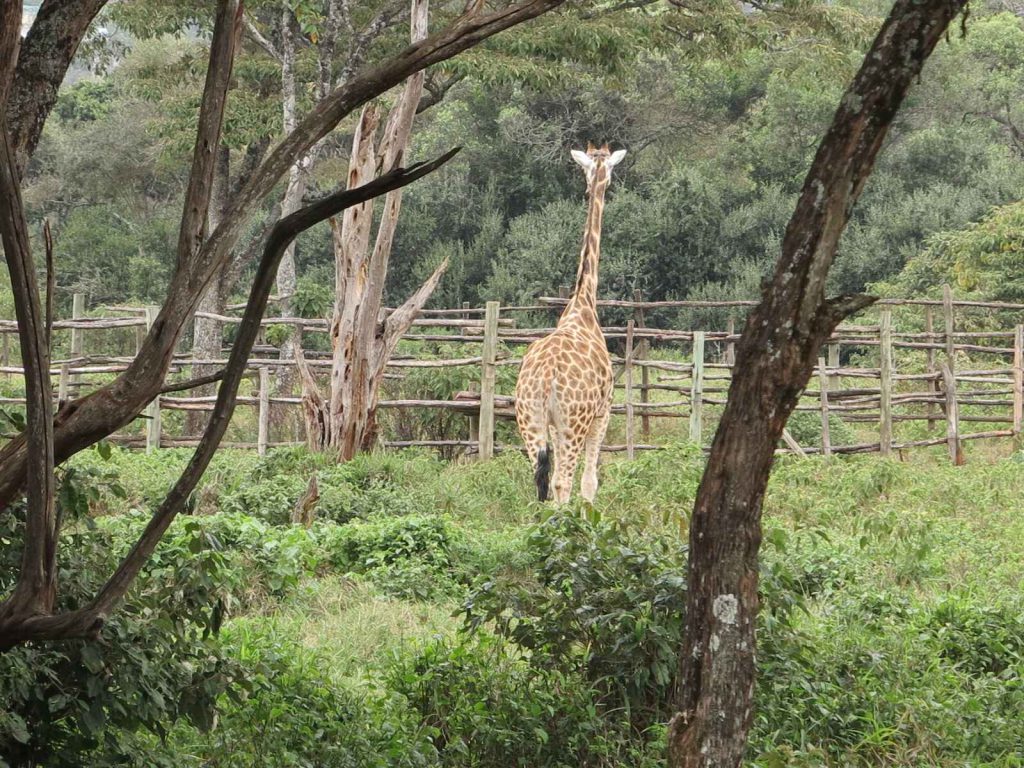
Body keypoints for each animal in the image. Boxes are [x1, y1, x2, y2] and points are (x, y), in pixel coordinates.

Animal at [515, 143, 626, 503]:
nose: (597, 185)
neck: (583, 303)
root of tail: (546, 378)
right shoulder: (603, 412)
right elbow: (590, 482)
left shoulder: (549, 422)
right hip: (572, 421)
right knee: (562, 481)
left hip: (529, 418)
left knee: (540, 481)